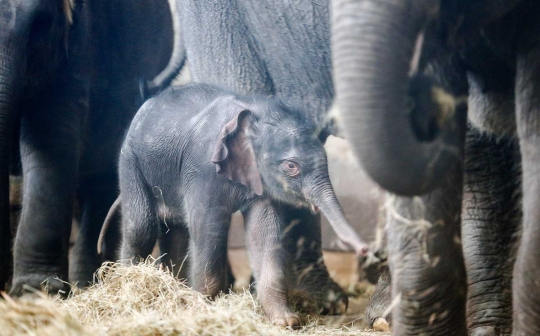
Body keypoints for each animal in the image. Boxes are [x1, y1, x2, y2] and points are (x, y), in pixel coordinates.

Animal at [1, 0, 184, 294]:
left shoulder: (78, 47)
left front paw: (38, 292)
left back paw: (89, 285)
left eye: (40, 25)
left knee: (101, 190)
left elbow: (50, 141)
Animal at [116, 83, 364, 326]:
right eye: (291, 166)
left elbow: (263, 234)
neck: (256, 114)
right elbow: (209, 229)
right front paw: (205, 311)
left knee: (175, 232)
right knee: (141, 227)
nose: (363, 249)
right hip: (129, 162)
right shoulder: (202, 170)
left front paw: (285, 321)